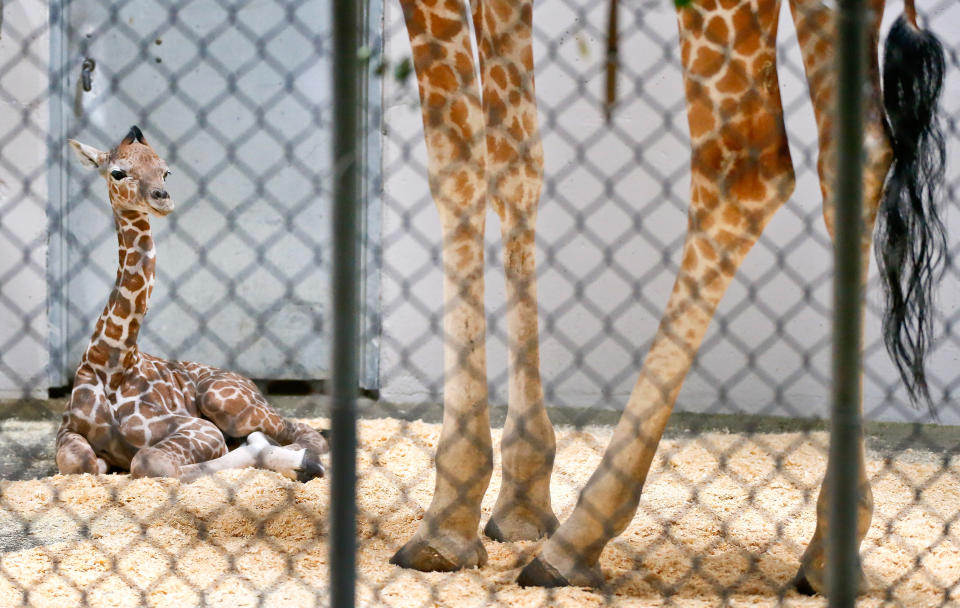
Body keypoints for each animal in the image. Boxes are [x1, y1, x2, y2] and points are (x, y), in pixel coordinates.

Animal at [56, 126, 328, 482]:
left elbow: (149, 462)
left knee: (307, 435)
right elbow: (82, 463)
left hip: (226, 402)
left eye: (166, 170)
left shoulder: (200, 428)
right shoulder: (67, 429)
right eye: (118, 173)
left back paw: (299, 461)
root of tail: (249, 382)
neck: (112, 360)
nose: (162, 198)